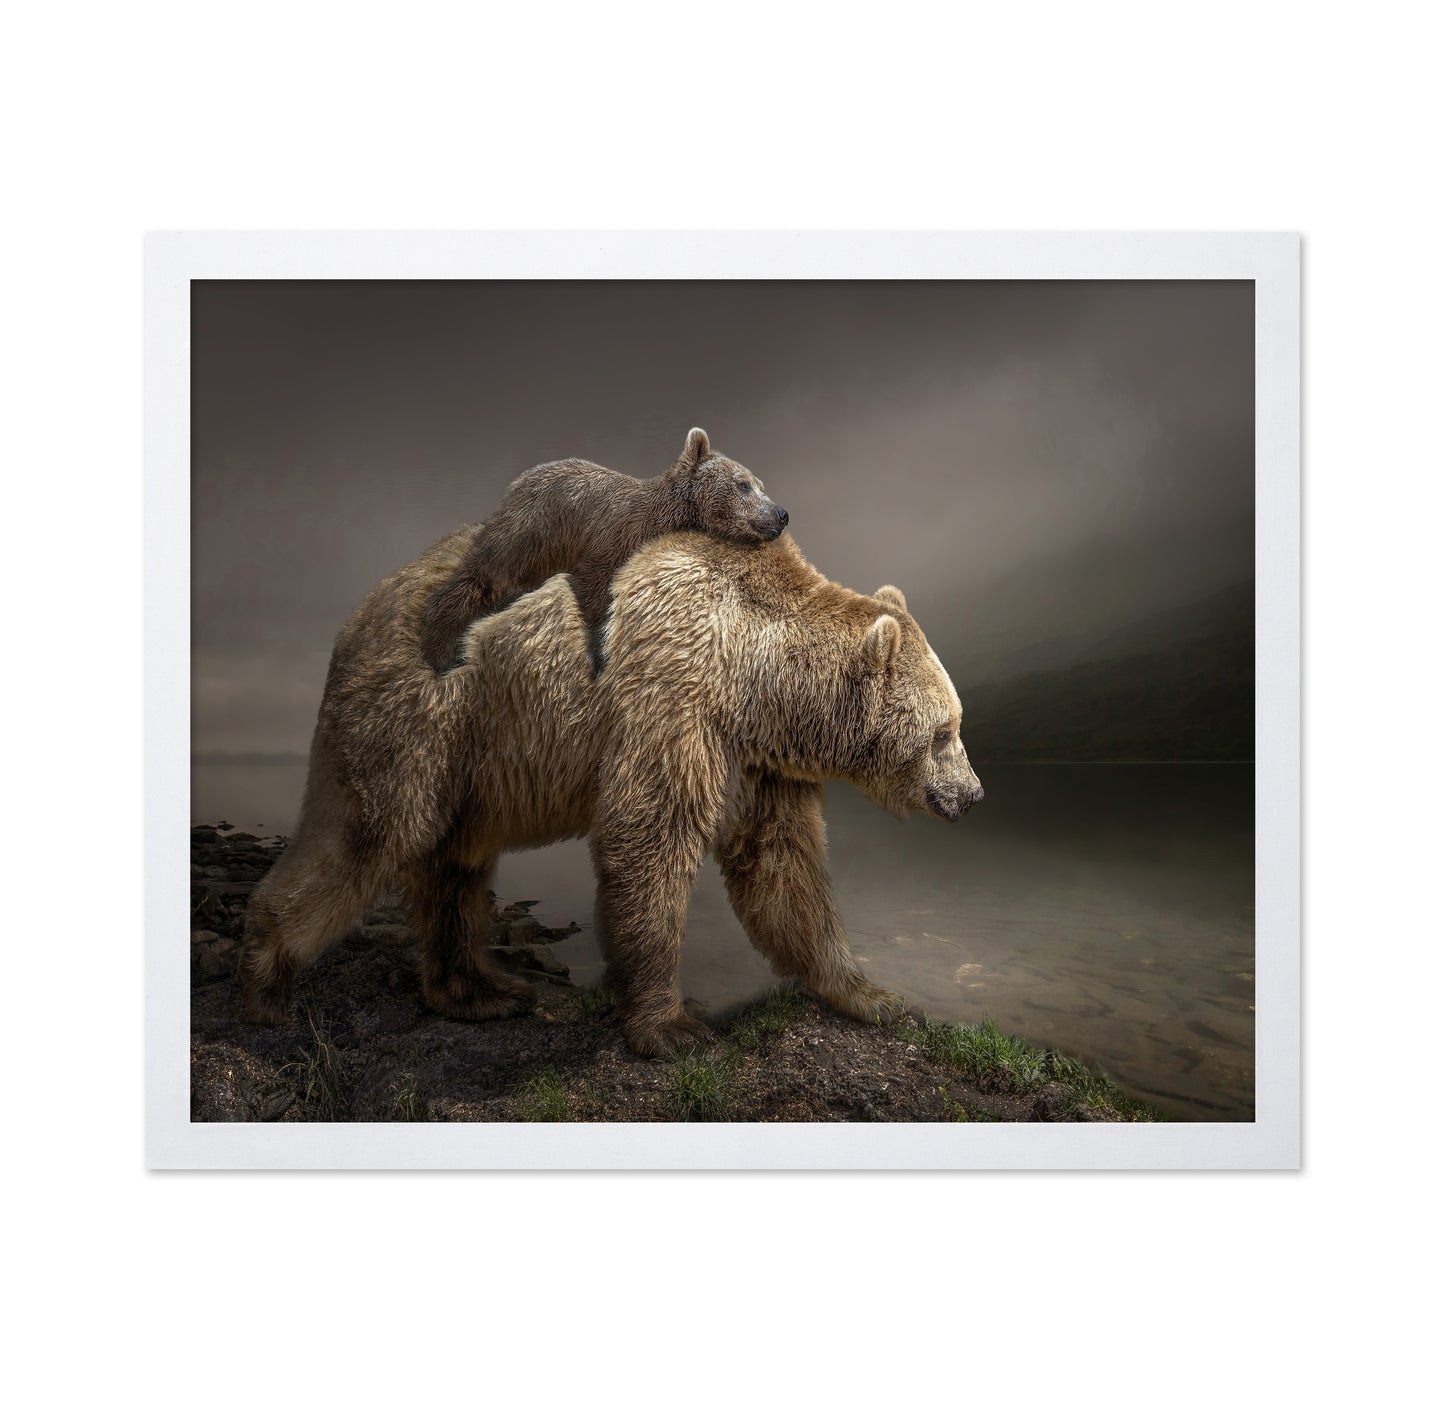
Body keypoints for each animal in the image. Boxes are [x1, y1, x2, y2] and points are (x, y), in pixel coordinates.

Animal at [238, 527, 983, 1057]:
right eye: (943, 731)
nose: (973, 794)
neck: (756, 677)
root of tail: (357, 613)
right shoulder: (672, 695)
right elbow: (649, 840)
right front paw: (672, 1025)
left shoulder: (761, 762)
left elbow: (783, 867)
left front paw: (872, 994)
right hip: (423, 713)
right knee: (367, 834)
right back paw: (267, 976)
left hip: (472, 757)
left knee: (454, 864)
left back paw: (479, 989)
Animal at [417, 427, 788, 672]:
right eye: (743, 484)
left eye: (761, 485)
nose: (780, 514)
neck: (662, 519)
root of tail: (517, 483)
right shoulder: (607, 540)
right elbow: (594, 591)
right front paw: (599, 658)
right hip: (529, 533)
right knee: (484, 576)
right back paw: (441, 649)